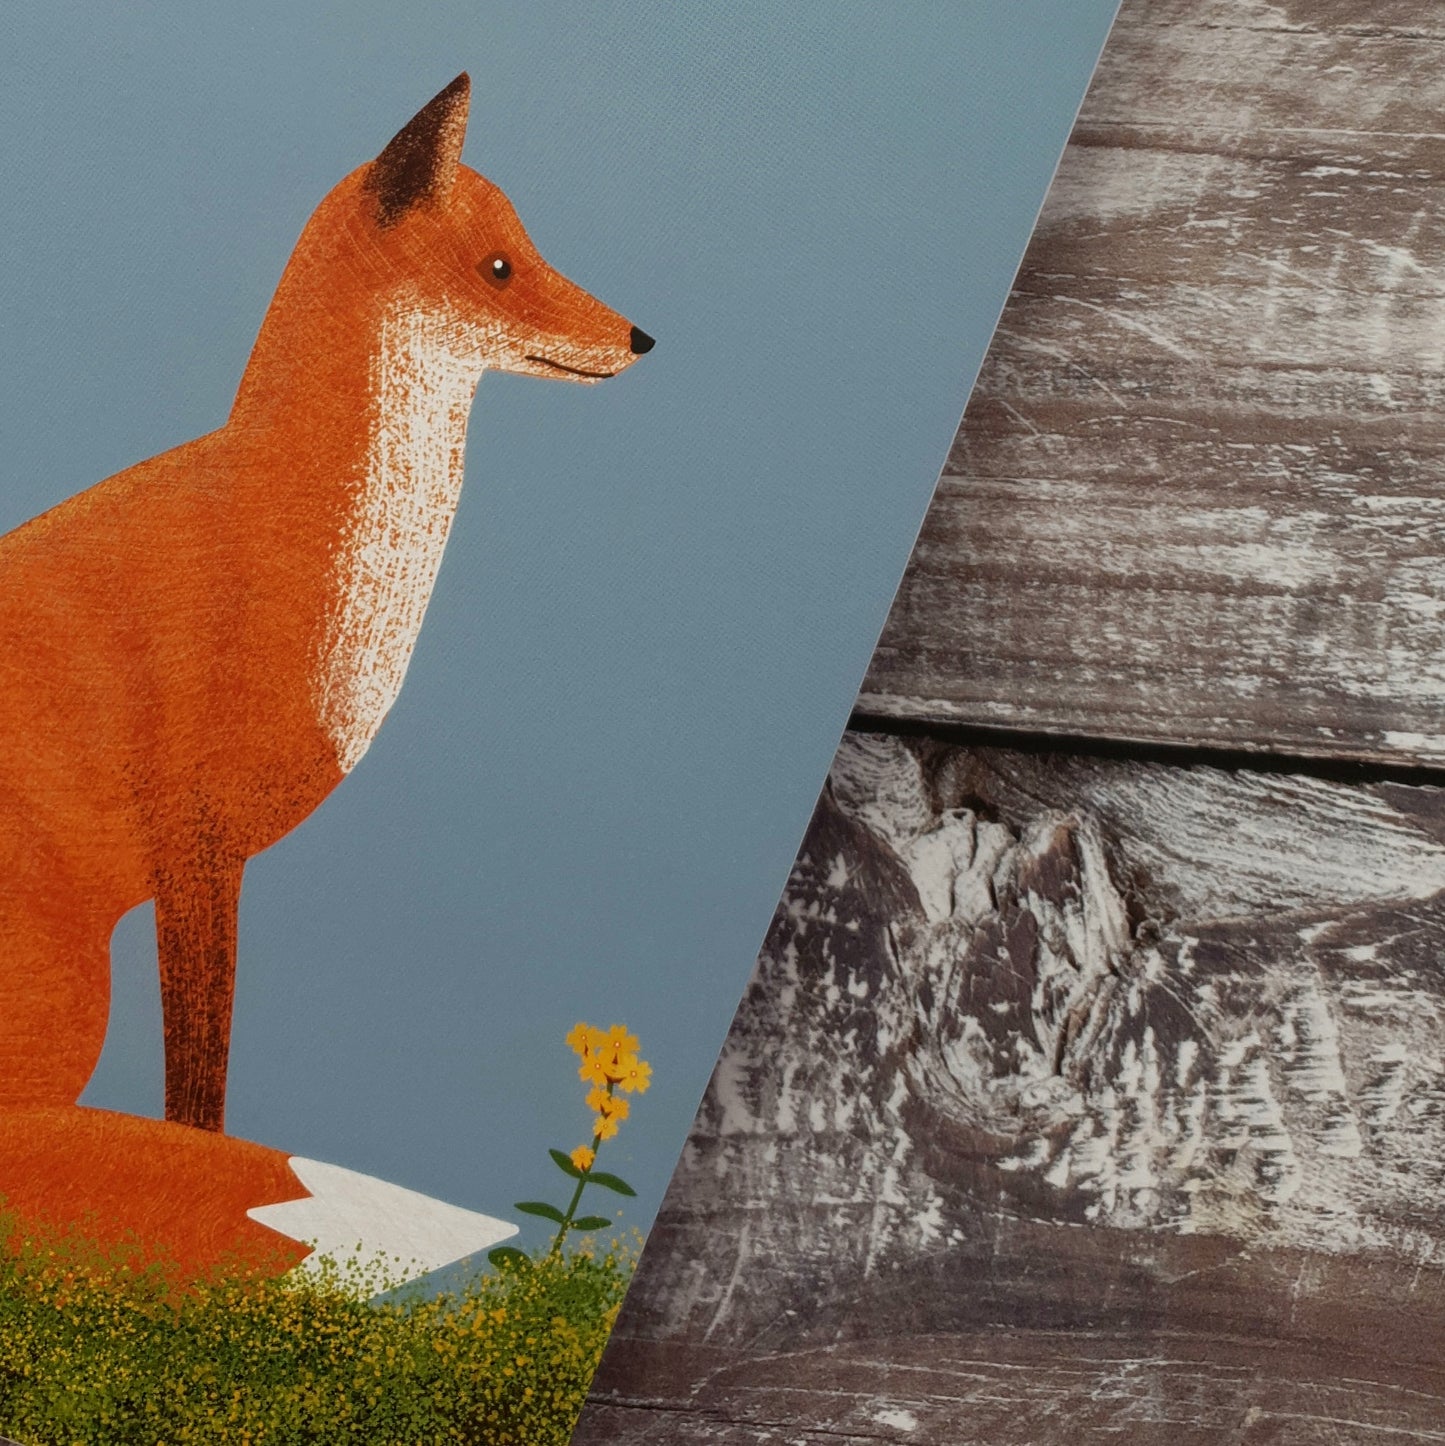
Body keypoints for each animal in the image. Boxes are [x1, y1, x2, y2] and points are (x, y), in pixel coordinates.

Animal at [0, 72, 653, 1142]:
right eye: (502, 266)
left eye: (531, 249)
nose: (641, 337)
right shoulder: (199, 852)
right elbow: (198, 1101)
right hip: (73, 997)